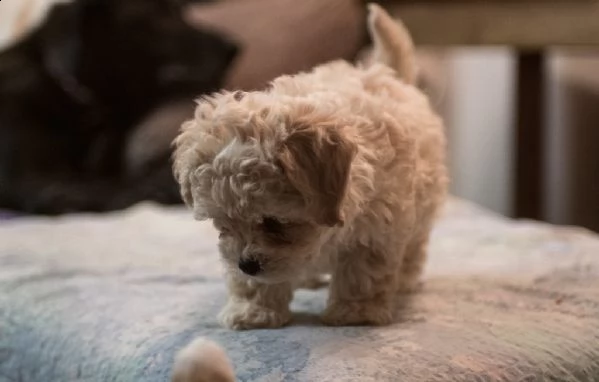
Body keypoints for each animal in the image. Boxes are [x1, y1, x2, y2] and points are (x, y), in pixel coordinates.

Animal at [172, 3, 446, 332]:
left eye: (274, 222)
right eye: (221, 223)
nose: (247, 264)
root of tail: (388, 74)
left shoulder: (377, 226)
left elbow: (362, 272)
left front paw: (355, 313)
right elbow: (256, 283)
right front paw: (254, 313)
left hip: (422, 207)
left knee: (415, 245)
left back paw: (404, 280)